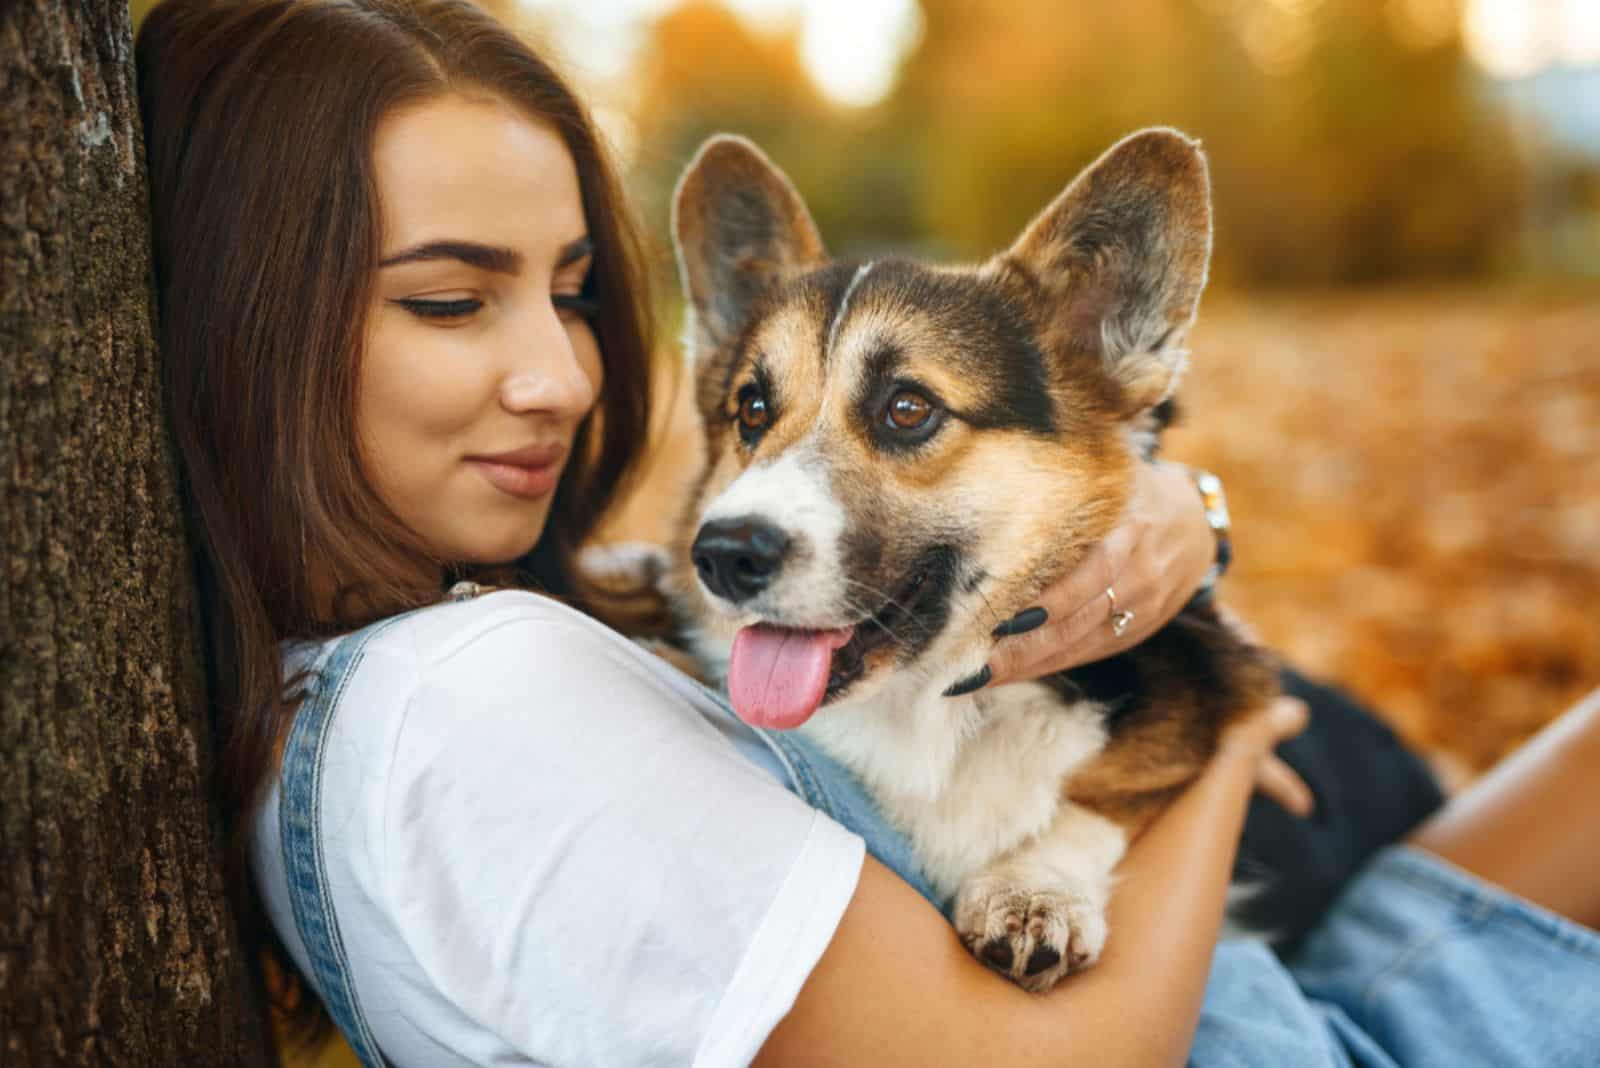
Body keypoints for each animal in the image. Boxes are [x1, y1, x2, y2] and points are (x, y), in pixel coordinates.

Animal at [662, 129, 1273, 991]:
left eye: (907, 408)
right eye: (751, 408)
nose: (722, 554)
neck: (938, 705)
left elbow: (1091, 801)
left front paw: (1032, 893)